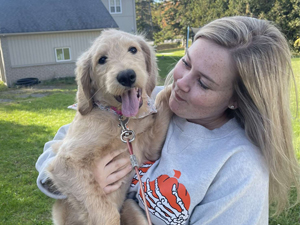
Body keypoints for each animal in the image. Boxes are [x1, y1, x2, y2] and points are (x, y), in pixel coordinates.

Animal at [45, 29, 172, 225]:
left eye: (133, 49)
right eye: (102, 59)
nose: (126, 76)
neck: (120, 119)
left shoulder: (147, 148)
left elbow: (161, 117)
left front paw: (174, 88)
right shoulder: (64, 163)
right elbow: (105, 212)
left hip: (130, 205)